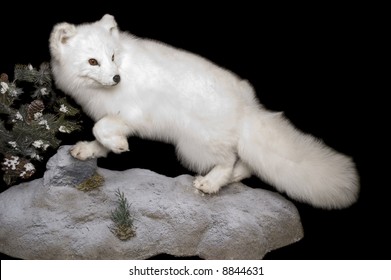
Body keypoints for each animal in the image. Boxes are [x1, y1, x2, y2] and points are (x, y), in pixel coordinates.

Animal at [49, 14, 362, 209]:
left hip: (192, 145)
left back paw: (210, 184)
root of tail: (246, 108)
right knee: (246, 164)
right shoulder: (122, 118)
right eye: (93, 61)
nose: (116, 78)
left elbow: (100, 127)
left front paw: (117, 145)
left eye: (112, 56)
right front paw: (92, 150)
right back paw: (230, 180)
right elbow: (101, 135)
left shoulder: (133, 114)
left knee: (229, 160)